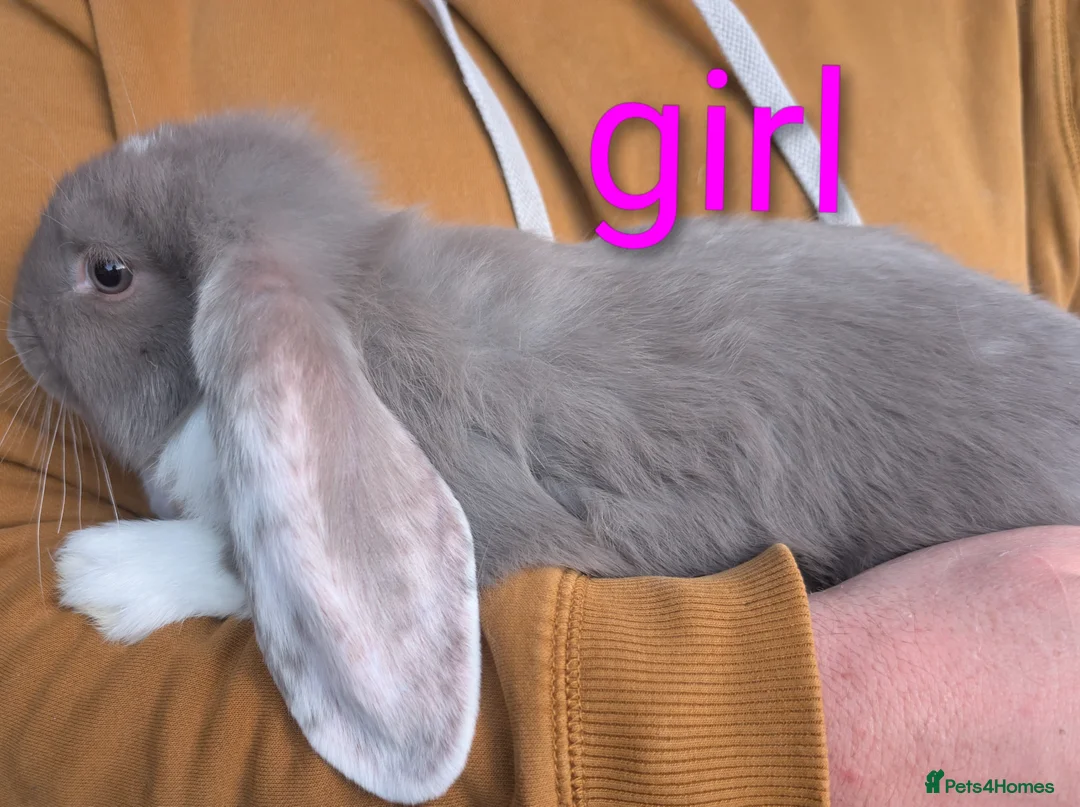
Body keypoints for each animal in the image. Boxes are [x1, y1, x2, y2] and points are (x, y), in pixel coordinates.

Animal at [10, 110, 1080, 803]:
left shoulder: (492, 511)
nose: (14, 326)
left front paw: (102, 572)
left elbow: (255, 561)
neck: (360, 301)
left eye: (108, 272)